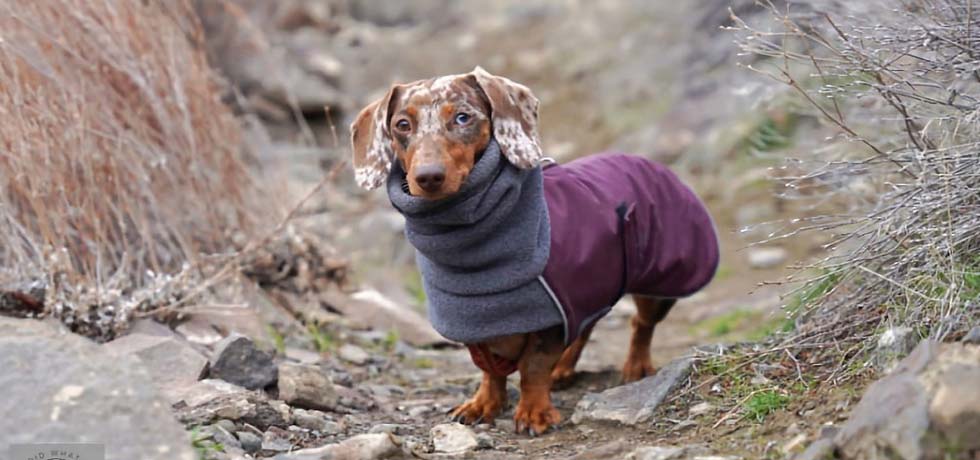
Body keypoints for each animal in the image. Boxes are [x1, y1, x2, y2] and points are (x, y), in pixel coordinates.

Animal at [348, 67, 716, 434]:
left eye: (463, 117)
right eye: (402, 124)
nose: (428, 177)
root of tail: (648, 162)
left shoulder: (552, 315)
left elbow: (533, 367)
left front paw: (534, 412)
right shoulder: (474, 321)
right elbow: (489, 369)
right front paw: (484, 403)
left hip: (656, 283)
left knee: (641, 324)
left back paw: (635, 366)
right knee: (586, 328)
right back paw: (564, 368)